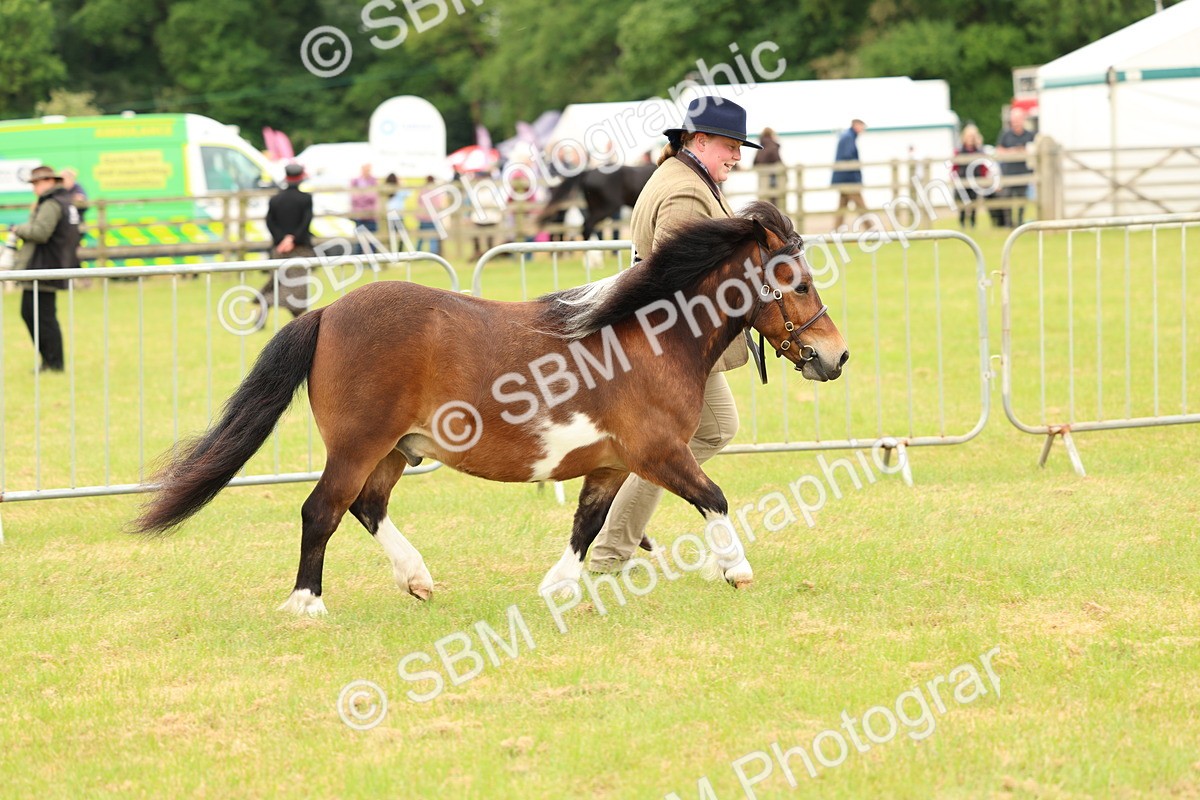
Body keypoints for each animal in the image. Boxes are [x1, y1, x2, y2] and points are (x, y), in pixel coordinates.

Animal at [133, 202, 848, 615]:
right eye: (798, 283)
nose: (835, 356)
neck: (648, 336)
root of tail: (328, 312)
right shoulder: (660, 453)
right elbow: (715, 498)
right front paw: (738, 570)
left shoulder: (613, 463)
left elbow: (588, 523)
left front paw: (559, 588)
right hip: (359, 445)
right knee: (322, 510)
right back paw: (307, 604)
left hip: (397, 450)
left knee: (368, 508)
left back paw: (417, 579)